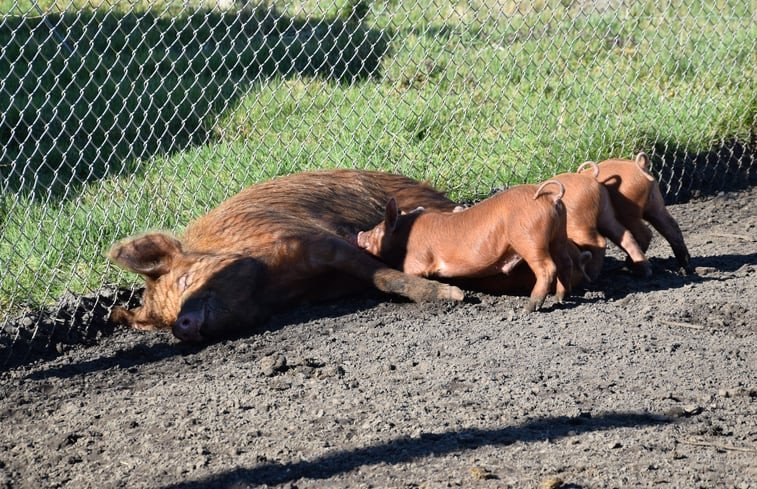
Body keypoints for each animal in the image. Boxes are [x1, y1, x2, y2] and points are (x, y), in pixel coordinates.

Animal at [107, 170, 464, 342]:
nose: (181, 326)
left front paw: (452, 296)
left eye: (185, 280)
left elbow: (383, 276)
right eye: (166, 320)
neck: (272, 285)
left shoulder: (316, 239)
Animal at [358, 181, 576, 310]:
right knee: (565, 263)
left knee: (548, 268)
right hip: (559, 234)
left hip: (529, 238)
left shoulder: (417, 259)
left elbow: (411, 273)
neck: (405, 234)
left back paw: (530, 307)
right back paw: (560, 298)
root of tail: (551, 198)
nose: (360, 234)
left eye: (378, 231)